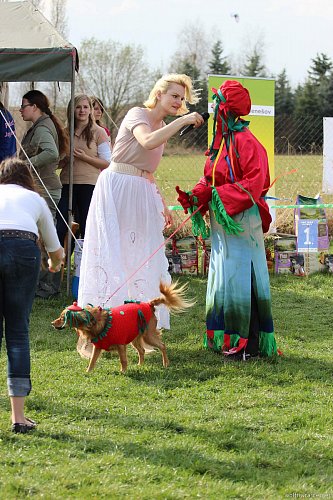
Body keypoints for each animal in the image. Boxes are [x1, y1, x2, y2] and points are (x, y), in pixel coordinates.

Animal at [52, 282, 192, 372]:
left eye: (62, 318)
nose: (52, 323)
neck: (96, 321)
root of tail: (148, 304)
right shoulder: (98, 347)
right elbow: (92, 360)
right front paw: (88, 372)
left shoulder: (120, 345)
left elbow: (123, 360)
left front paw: (123, 372)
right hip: (135, 338)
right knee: (142, 350)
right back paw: (140, 365)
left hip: (148, 336)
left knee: (162, 346)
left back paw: (165, 363)